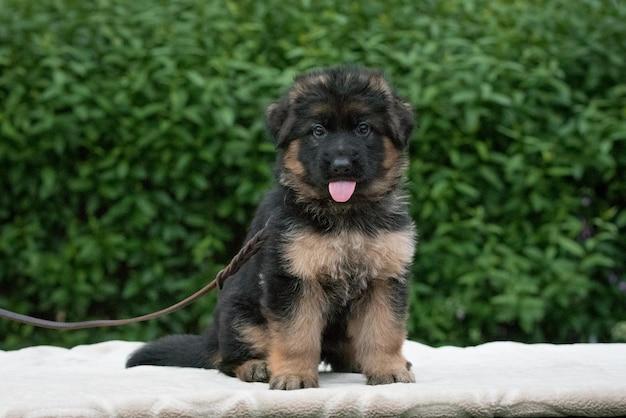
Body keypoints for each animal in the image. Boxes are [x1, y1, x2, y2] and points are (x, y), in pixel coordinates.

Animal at [126, 65, 414, 388]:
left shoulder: (385, 278)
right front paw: (294, 375)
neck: (345, 215)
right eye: (318, 131)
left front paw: (388, 369)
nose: (341, 166)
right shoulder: (292, 278)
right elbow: (296, 334)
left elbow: (384, 330)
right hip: (241, 317)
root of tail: (211, 340)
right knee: (225, 360)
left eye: (363, 128)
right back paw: (256, 366)